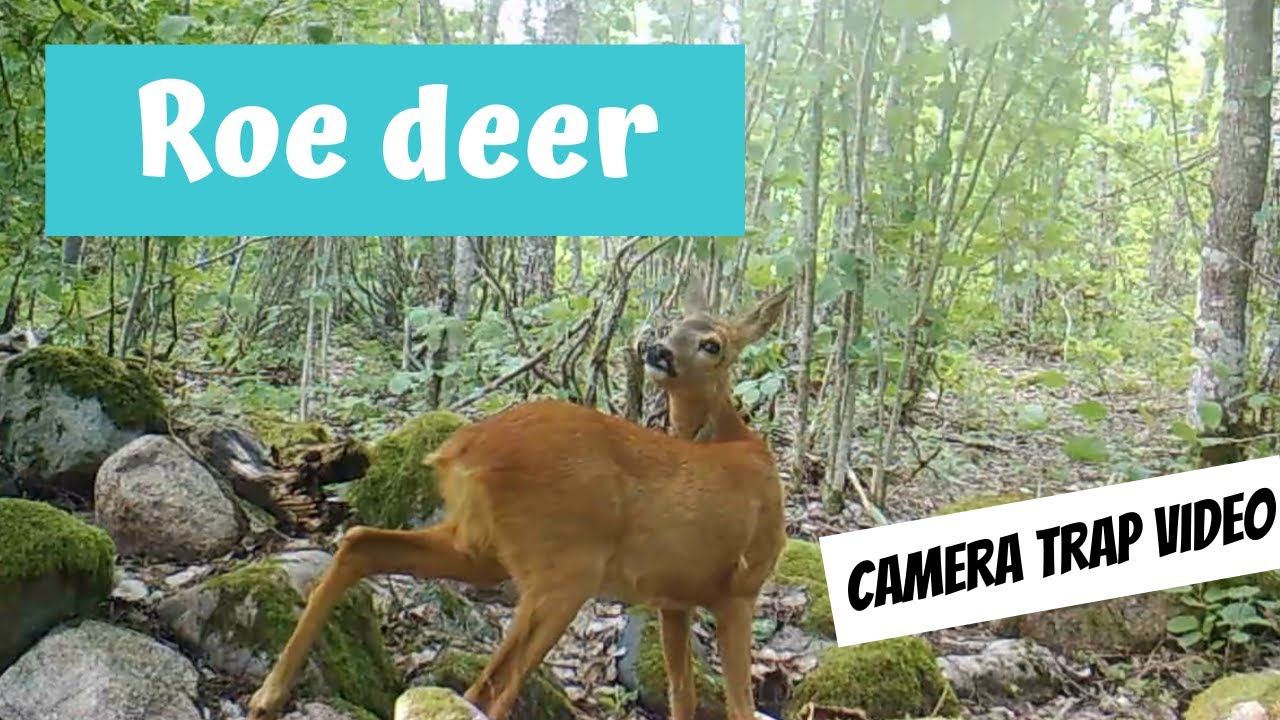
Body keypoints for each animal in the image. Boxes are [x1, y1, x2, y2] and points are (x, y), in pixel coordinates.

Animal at [246, 282, 792, 720]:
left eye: (712, 343)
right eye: (675, 325)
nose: (657, 349)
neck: (737, 440)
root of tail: (464, 448)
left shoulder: (673, 600)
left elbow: (683, 699)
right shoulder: (741, 589)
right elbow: (740, 707)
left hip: (479, 546)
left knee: (361, 541)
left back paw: (267, 696)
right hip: (565, 568)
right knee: (489, 693)